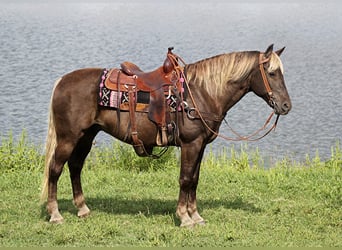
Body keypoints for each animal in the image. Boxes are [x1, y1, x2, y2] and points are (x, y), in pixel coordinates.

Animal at [40, 44, 292, 227]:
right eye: (271, 73)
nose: (286, 106)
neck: (201, 92)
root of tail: (62, 81)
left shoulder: (201, 145)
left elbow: (195, 180)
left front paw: (196, 215)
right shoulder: (191, 144)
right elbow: (185, 179)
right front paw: (184, 218)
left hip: (86, 136)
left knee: (75, 167)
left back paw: (82, 209)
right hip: (68, 138)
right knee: (55, 169)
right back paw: (55, 214)